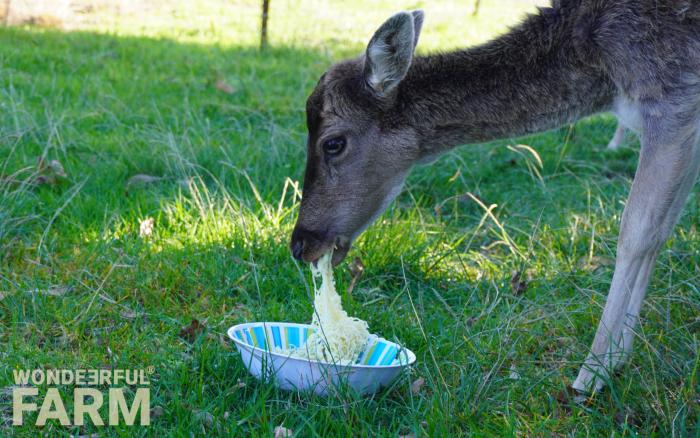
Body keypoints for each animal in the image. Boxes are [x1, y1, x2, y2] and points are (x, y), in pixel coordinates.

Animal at [289, 0, 700, 396]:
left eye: (333, 143)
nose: (300, 243)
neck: (607, 81)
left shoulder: (672, 96)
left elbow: (637, 233)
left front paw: (591, 374)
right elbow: (662, 230)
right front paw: (619, 359)